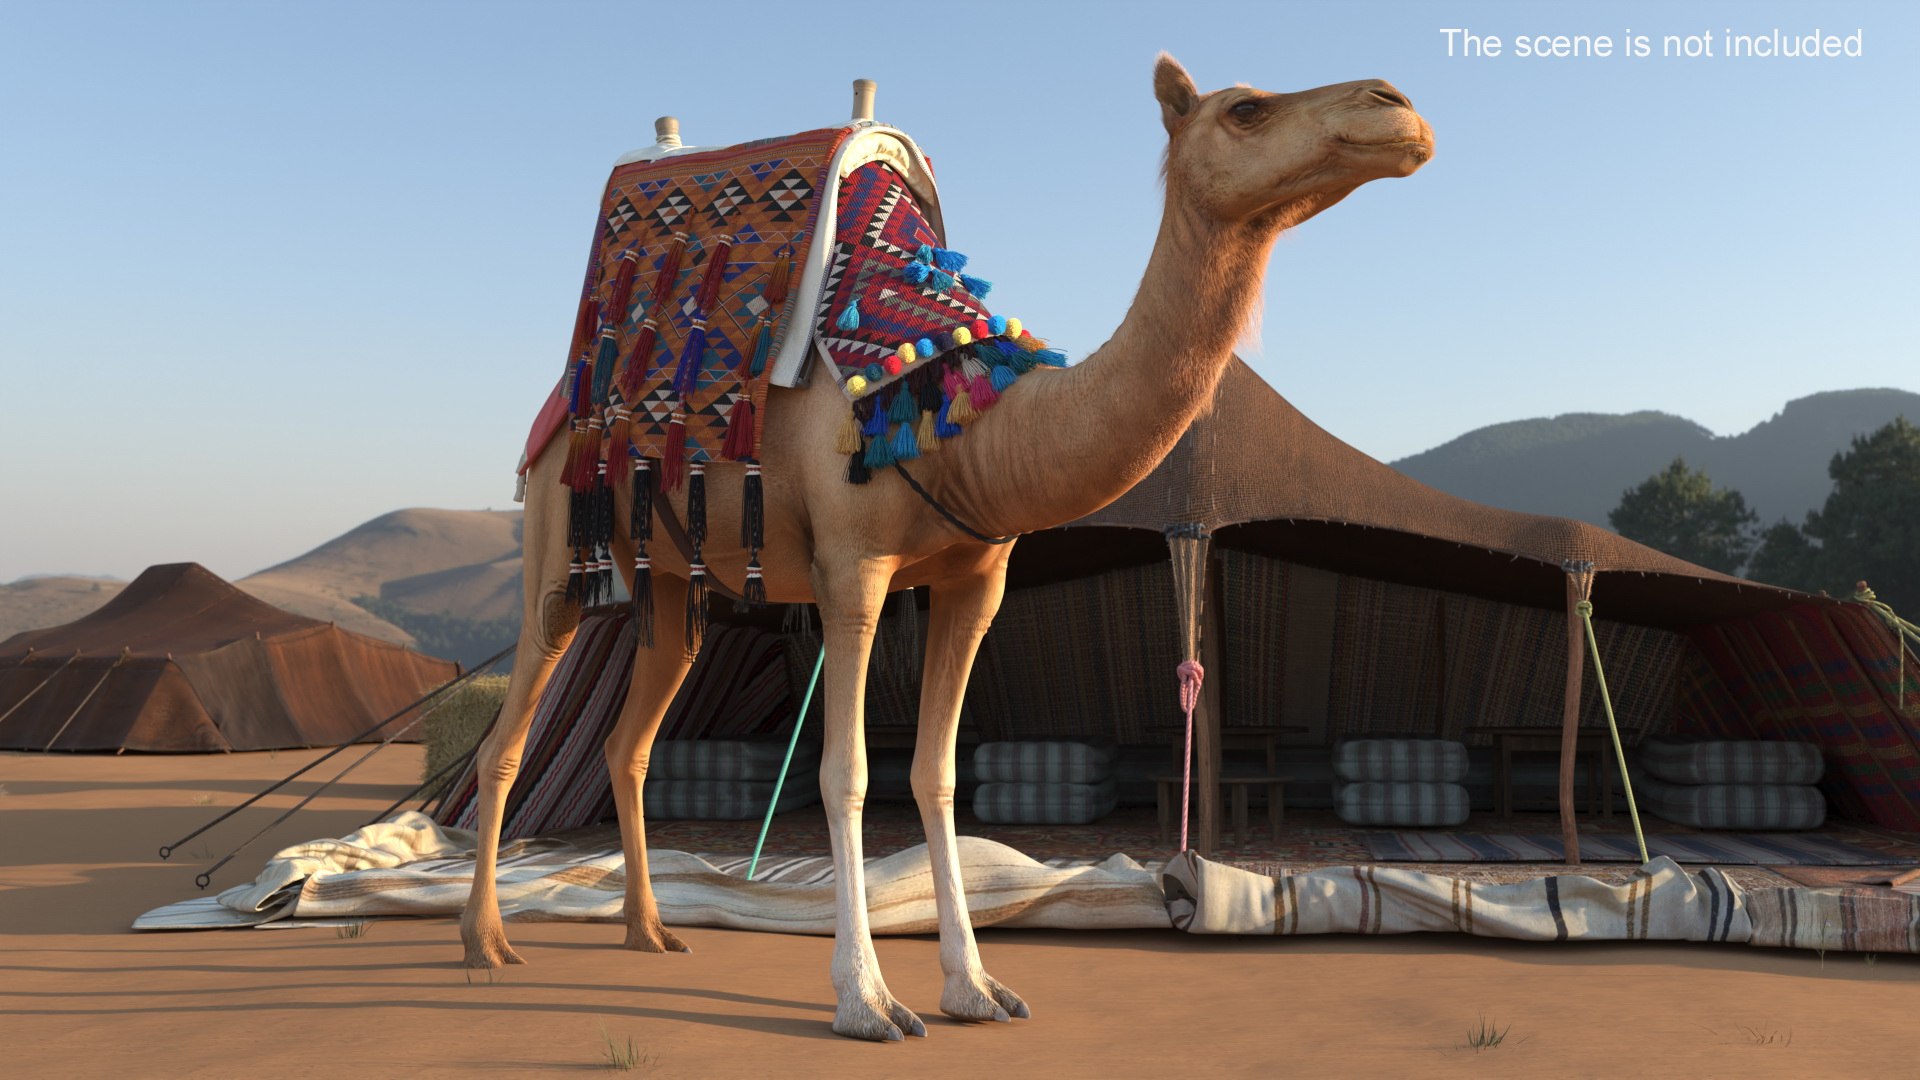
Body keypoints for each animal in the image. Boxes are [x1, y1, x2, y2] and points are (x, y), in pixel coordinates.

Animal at [460, 54, 1433, 1042]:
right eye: (1245, 109)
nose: (1398, 110)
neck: (960, 415)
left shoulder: (977, 579)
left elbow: (937, 774)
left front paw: (976, 988)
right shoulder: (851, 570)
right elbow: (846, 773)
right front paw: (866, 1001)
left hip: (668, 583)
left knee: (630, 742)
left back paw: (649, 931)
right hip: (557, 539)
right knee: (508, 731)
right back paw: (486, 941)